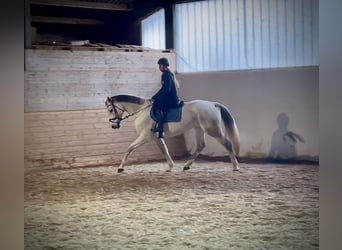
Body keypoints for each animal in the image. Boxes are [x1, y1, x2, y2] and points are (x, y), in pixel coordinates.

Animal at [104, 94, 240, 173]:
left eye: (110, 110)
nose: (114, 125)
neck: (141, 111)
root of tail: (213, 104)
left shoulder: (145, 137)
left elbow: (129, 148)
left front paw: (120, 167)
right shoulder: (156, 138)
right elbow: (164, 150)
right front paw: (170, 166)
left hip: (213, 130)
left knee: (227, 143)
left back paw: (235, 166)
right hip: (199, 129)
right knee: (200, 146)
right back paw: (186, 166)